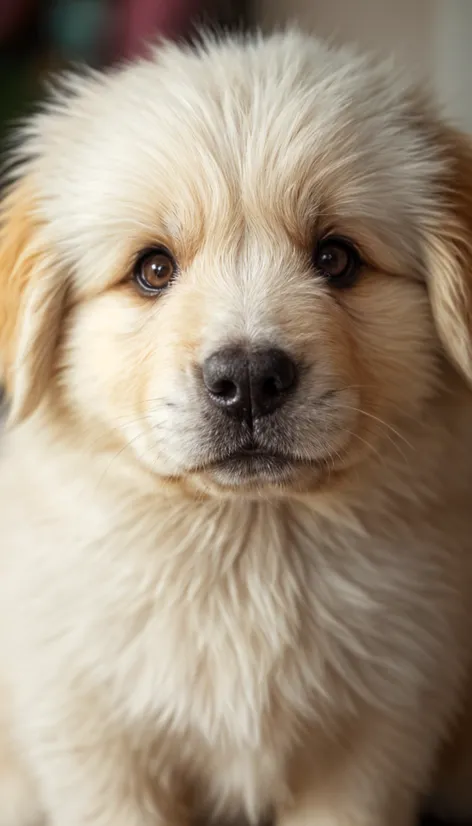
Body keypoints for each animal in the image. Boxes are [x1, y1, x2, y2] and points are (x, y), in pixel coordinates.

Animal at [0, 25, 472, 824]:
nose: (248, 381)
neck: (248, 547)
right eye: (153, 270)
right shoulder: (91, 742)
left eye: (336, 257)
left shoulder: (379, 739)